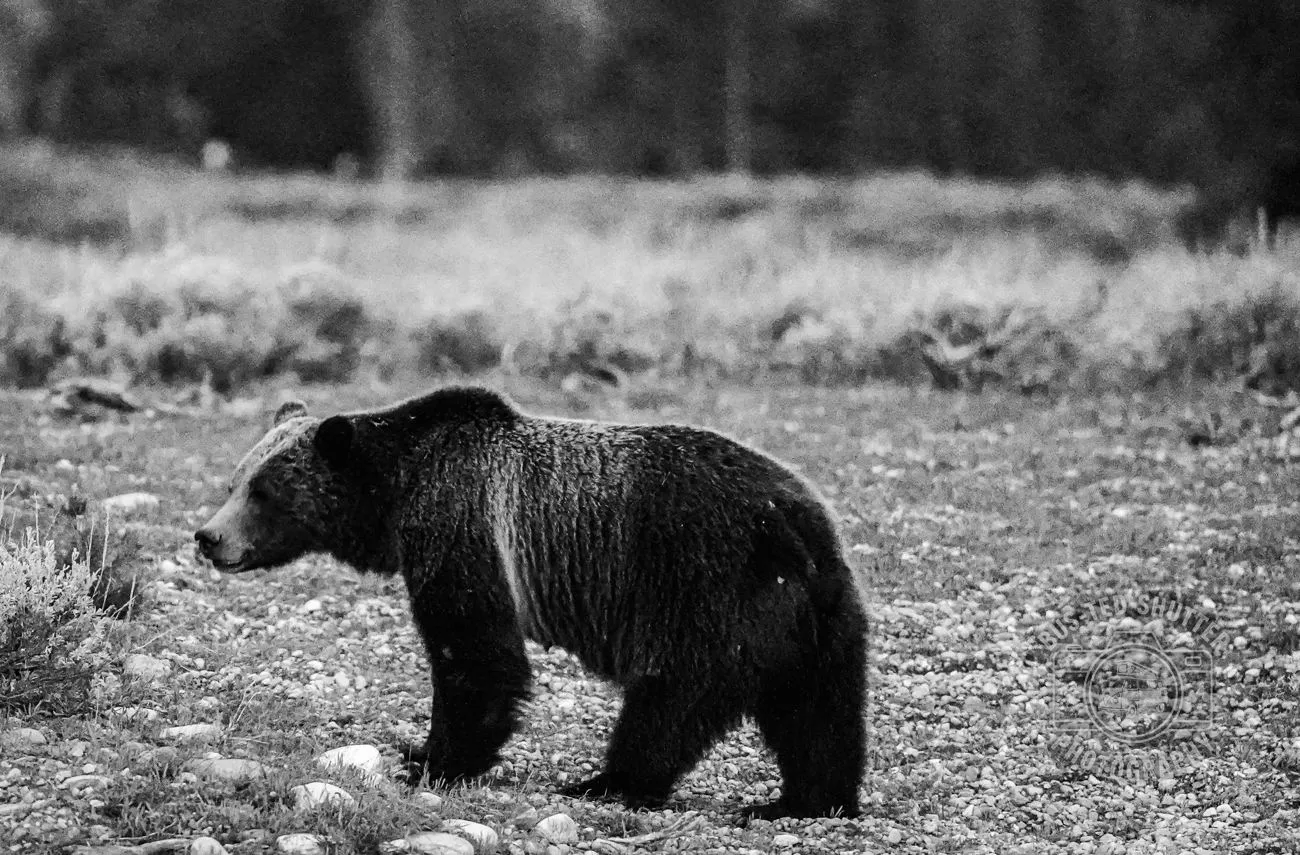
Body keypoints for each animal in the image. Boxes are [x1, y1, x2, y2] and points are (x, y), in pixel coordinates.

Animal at [194, 386, 868, 819]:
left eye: (265, 490)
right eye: (235, 481)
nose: (208, 537)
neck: (396, 492)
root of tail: (796, 521)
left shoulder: (461, 520)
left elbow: (474, 654)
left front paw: (433, 759)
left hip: (704, 589)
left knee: (674, 697)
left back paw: (607, 781)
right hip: (815, 612)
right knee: (818, 710)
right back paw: (804, 799)